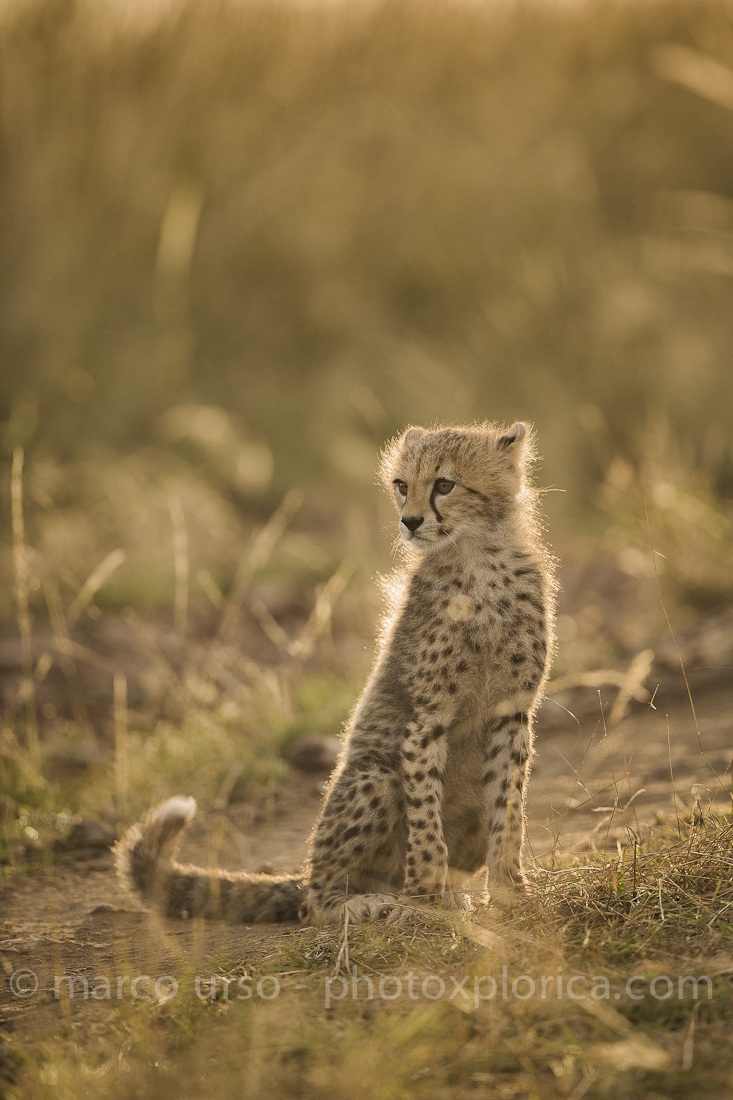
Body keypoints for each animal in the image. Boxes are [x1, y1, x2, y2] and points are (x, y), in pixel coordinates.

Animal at [115, 420, 557, 924]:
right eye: (402, 485)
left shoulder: (512, 714)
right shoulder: (426, 716)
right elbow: (425, 814)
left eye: (445, 485)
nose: (410, 521)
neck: (478, 555)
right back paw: (369, 903)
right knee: (316, 899)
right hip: (375, 776)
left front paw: (509, 891)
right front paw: (429, 896)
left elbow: (509, 805)